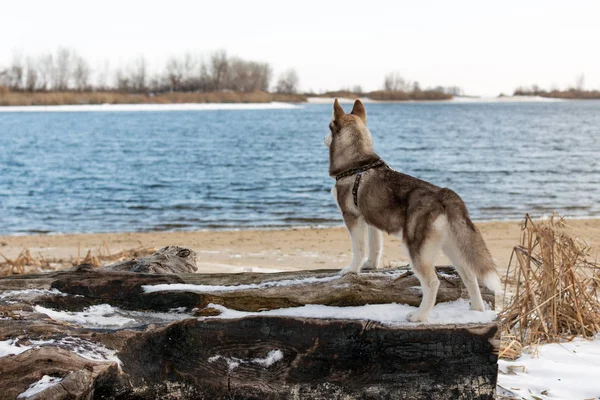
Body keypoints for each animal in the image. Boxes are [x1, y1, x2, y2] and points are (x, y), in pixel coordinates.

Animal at [326, 99, 500, 322]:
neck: (358, 164)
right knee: (469, 275)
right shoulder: (370, 220)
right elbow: (374, 247)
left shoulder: (353, 217)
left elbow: (359, 249)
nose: (323, 139)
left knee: (432, 283)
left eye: (328, 127)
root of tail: (446, 194)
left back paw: (419, 316)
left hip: (416, 248)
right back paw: (476, 311)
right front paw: (370, 265)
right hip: (451, 246)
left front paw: (351, 270)